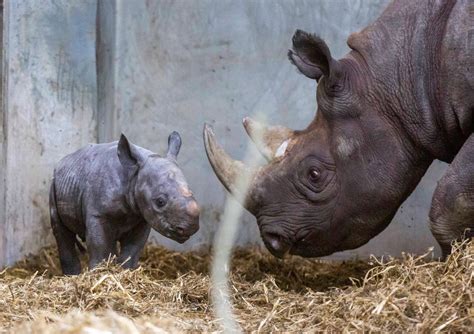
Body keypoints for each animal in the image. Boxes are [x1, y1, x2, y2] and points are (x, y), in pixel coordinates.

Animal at [50, 132, 200, 276]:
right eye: (160, 202)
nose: (189, 228)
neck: (134, 175)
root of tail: (62, 162)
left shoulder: (141, 217)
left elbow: (132, 249)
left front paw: (124, 271)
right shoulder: (98, 214)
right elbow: (99, 245)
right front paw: (99, 272)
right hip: (54, 183)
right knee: (62, 232)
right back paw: (72, 276)